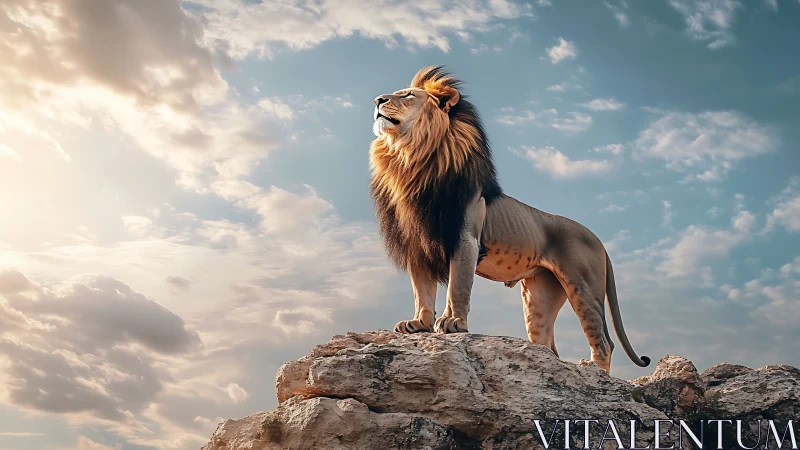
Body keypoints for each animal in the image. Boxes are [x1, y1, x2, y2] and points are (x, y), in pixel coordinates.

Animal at [369, 66, 649, 372]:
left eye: (407, 95)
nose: (377, 100)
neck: (410, 159)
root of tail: (598, 240)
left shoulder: (466, 237)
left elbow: (458, 286)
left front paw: (454, 322)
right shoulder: (416, 244)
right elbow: (422, 290)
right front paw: (419, 324)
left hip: (583, 286)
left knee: (603, 341)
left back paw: (593, 372)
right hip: (539, 296)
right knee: (547, 344)